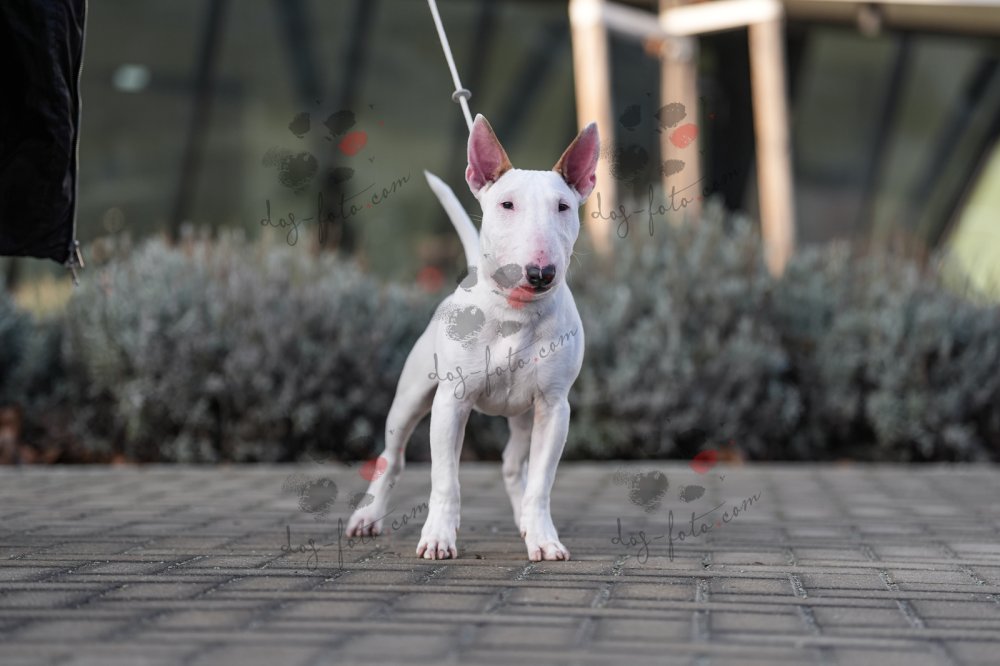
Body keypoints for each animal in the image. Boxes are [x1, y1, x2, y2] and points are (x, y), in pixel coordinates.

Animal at [345, 114, 599, 561]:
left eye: (563, 207)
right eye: (507, 204)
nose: (541, 272)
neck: (514, 312)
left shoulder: (554, 407)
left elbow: (541, 482)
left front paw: (543, 538)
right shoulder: (451, 401)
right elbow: (445, 479)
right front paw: (438, 537)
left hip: (523, 416)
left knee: (514, 464)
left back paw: (525, 523)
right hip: (410, 398)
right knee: (393, 457)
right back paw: (367, 516)